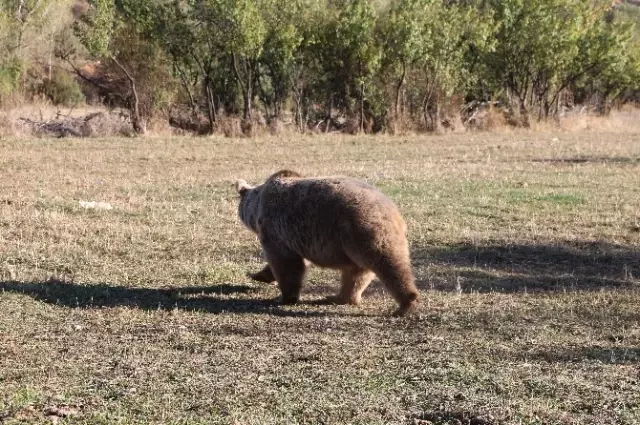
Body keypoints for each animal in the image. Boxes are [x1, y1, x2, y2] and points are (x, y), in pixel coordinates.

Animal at [235, 169, 420, 314]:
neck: (258, 205)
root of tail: (394, 213)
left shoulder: (276, 230)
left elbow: (285, 263)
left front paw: (286, 297)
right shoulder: (301, 239)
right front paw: (259, 275)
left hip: (362, 232)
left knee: (388, 265)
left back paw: (406, 303)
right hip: (353, 242)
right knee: (358, 273)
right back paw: (338, 297)